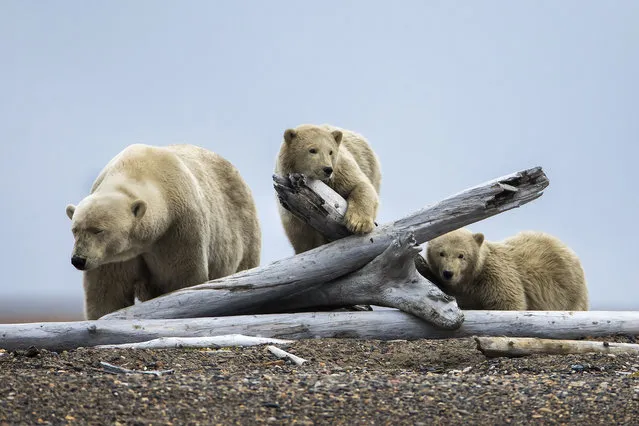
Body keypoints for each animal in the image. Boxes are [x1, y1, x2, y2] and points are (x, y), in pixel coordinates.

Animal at [274, 123, 380, 253]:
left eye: (331, 151)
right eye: (312, 150)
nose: (327, 169)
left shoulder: (340, 171)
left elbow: (361, 185)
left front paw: (358, 223)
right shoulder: (289, 204)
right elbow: (301, 232)